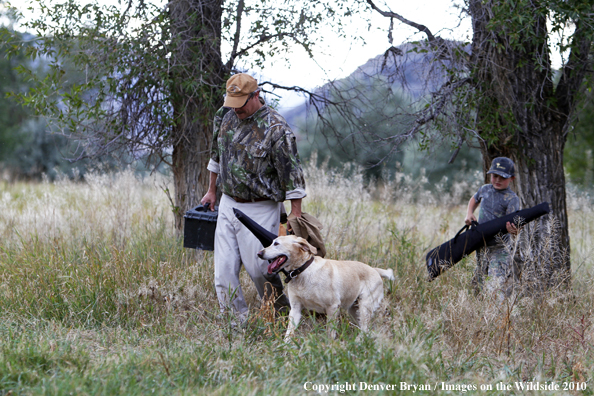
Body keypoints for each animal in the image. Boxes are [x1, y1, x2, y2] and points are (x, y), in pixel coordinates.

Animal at [256, 235, 390, 340]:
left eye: (276, 243)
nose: (259, 253)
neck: (302, 271)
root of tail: (375, 270)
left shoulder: (332, 307)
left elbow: (330, 332)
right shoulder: (295, 309)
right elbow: (289, 332)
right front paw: (285, 347)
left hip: (364, 307)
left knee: (365, 329)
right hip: (354, 310)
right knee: (364, 329)